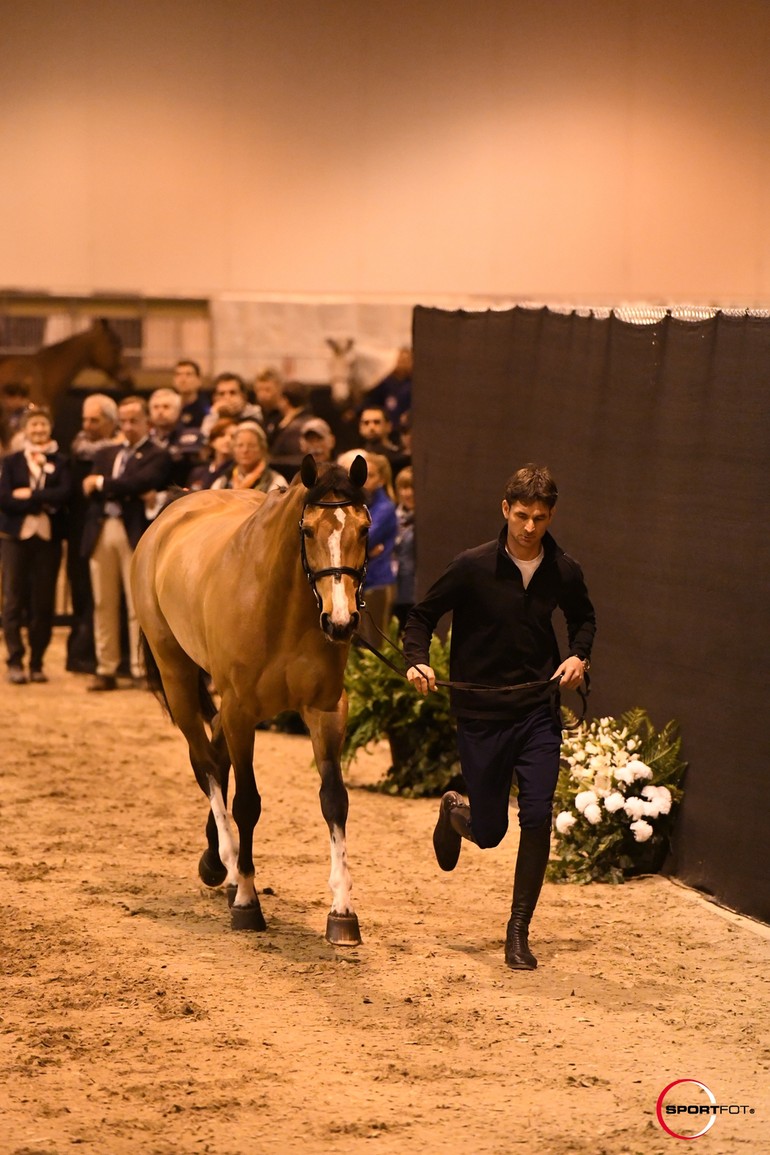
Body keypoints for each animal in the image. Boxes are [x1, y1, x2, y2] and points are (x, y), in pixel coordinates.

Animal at [131, 448, 371, 937]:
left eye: (364, 529)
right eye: (308, 530)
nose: (341, 622)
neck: (281, 607)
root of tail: (172, 511)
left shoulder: (326, 710)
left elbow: (334, 800)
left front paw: (342, 910)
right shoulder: (241, 711)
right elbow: (246, 803)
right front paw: (246, 899)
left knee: (214, 750)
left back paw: (215, 865)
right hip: (177, 676)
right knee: (205, 760)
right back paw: (225, 866)